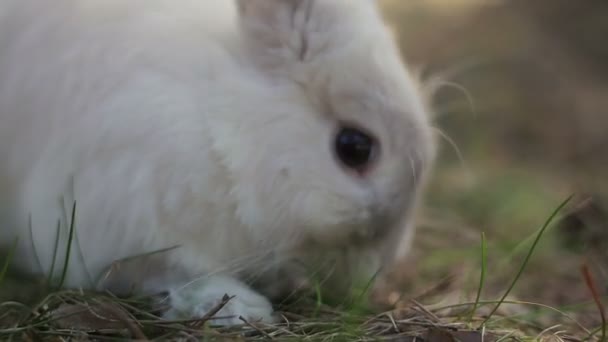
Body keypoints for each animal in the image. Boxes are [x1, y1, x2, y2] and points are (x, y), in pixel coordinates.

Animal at [0, 0, 436, 324]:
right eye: (354, 148)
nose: (384, 258)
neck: (222, 130)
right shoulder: (122, 220)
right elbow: (175, 273)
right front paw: (245, 309)